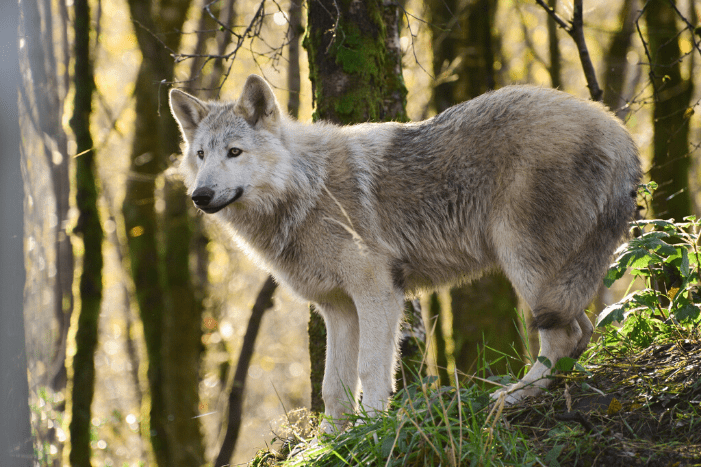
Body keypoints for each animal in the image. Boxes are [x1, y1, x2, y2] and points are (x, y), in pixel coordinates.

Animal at [168, 76, 640, 432]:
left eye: (235, 152)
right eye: (201, 155)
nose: (200, 196)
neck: (306, 190)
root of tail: (618, 130)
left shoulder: (378, 292)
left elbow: (371, 370)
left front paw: (374, 428)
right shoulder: (338, 308)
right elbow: (333, 387)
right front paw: (331, 441)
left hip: (523, 264)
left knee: (562, 336)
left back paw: (510, 398)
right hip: (551, 278)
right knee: (580, 332)